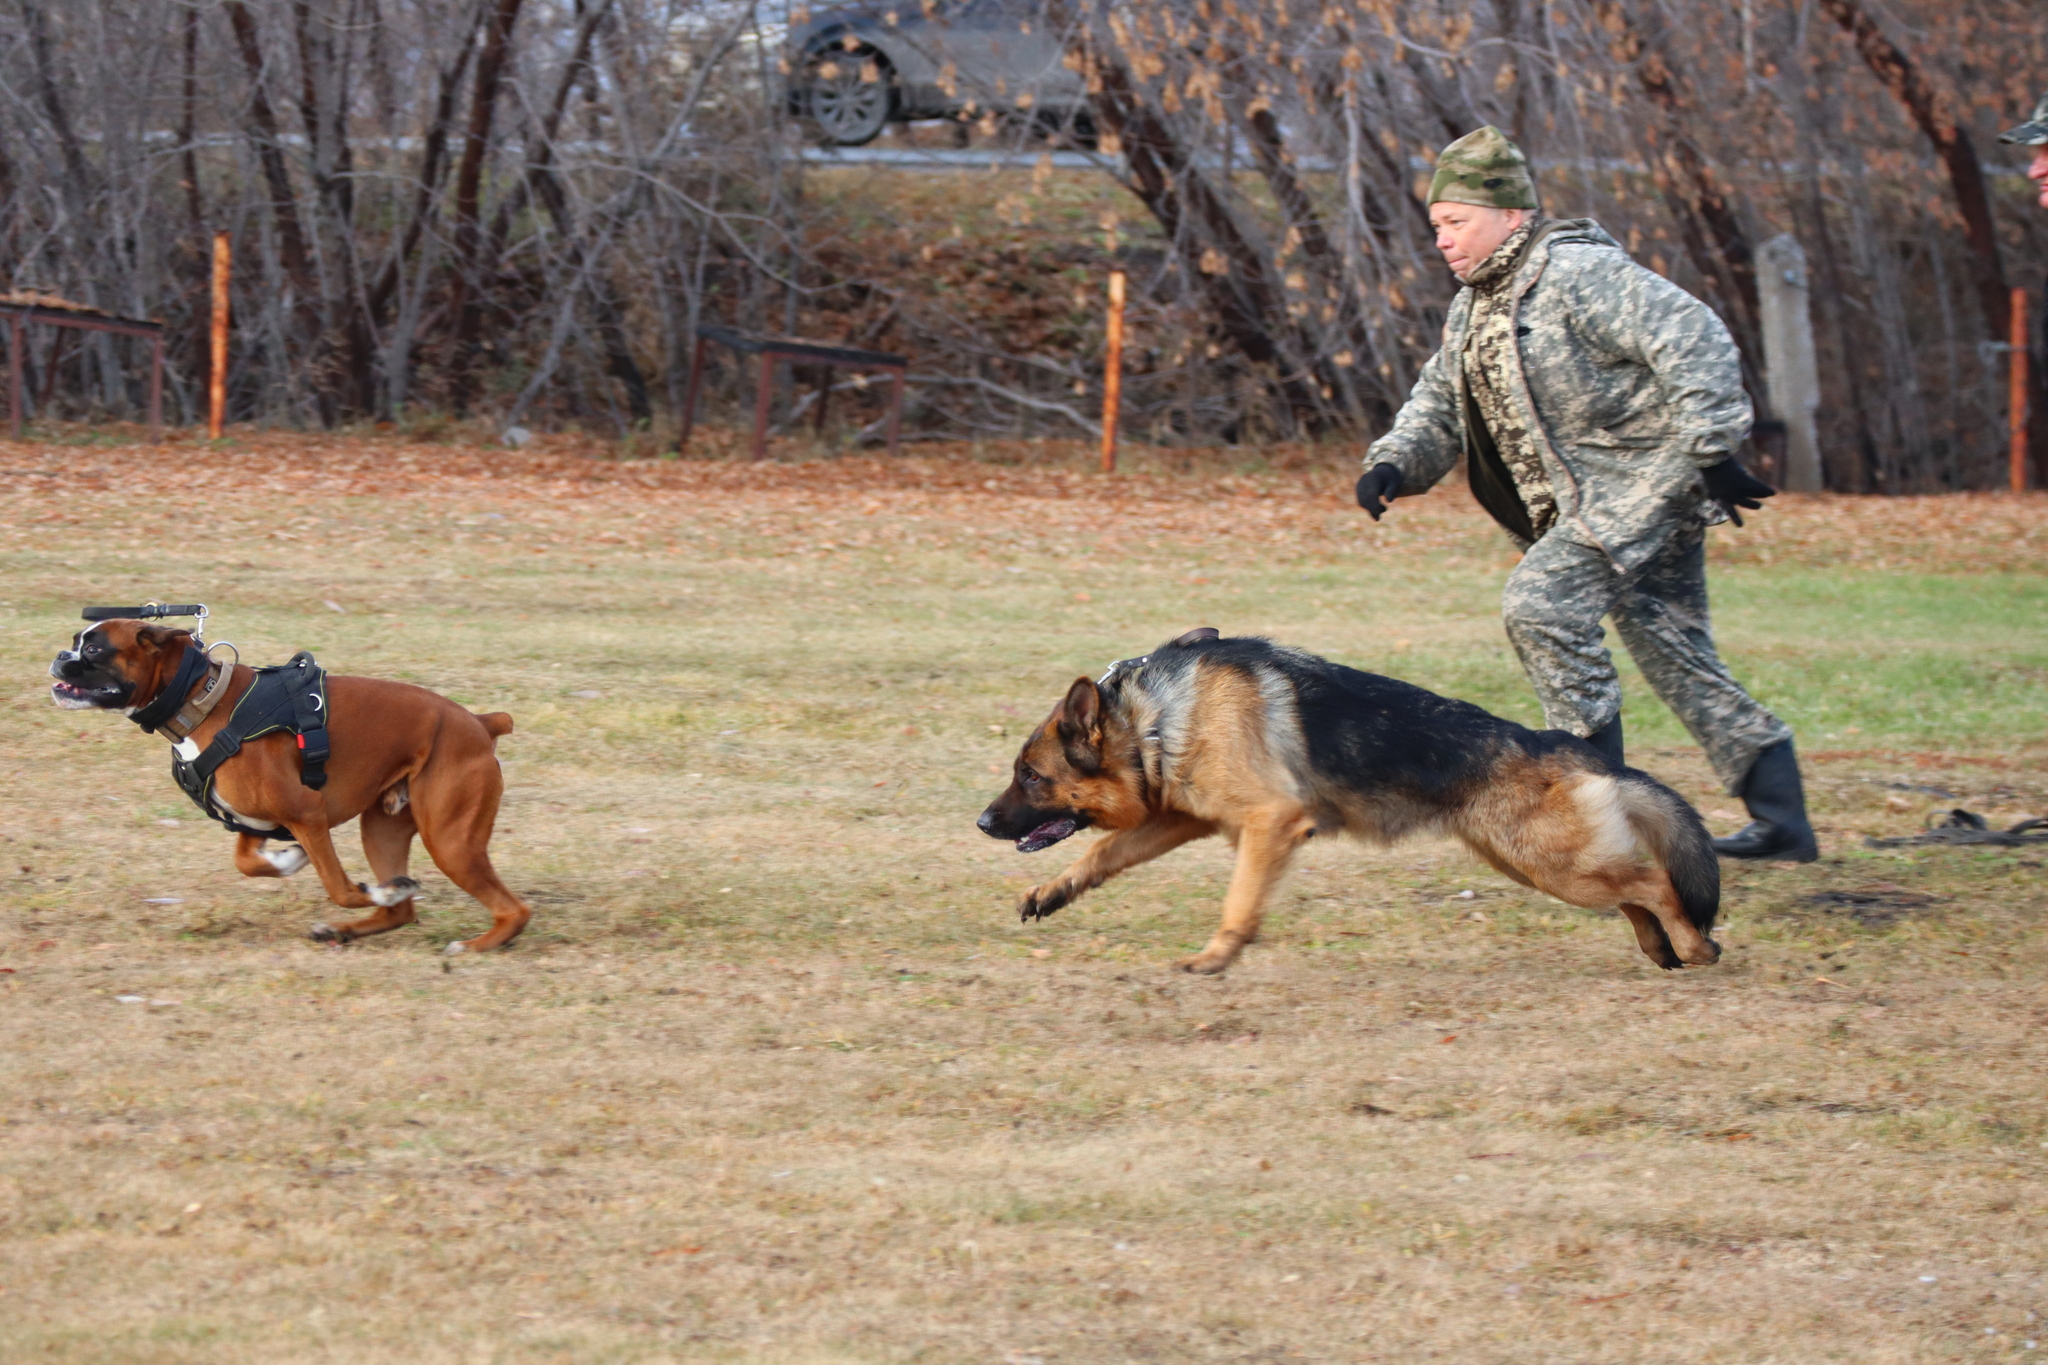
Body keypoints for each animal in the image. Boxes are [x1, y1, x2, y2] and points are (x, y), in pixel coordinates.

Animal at [50, 618, 532, 949]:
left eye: (93, 648)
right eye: (76, 643)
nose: (58, 656)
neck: (201, 698)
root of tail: (480, 723)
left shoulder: (308, 814)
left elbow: (340, 888)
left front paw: (362, 887)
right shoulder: (252, 824)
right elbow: (248, 863)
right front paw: (291, 859)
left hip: (450, 841)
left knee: (515, 909)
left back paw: (471, 944)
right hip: (383, 830)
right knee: (402, 910)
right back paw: (353, 923)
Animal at [974, 630, 1712, 970]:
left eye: (1029, 775)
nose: (981, 821)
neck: (1157, 719)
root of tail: (1571, 746)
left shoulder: (1269, 822)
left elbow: (1238, 901)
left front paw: (1217, 956)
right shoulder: (1179, 819)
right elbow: (1102, 853)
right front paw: (1051, 892)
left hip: (1550, 863)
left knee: (1652, 881)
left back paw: (1694, 944)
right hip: (1534, 862)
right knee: (1633, 888)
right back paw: (1661, 946)